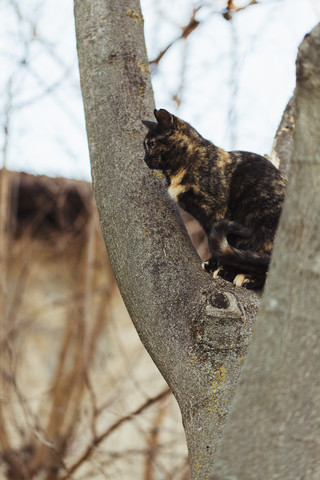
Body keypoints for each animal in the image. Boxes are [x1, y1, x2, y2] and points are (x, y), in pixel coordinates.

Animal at [141, 109, 286, 288]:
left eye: (152, 144)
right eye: (145, 146)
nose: (145, 159)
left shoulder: (218, 211)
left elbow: (222, 244)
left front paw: (220, 267)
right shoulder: (205, 219)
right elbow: (213, 238)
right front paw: (212, 264)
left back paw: (246, 277)